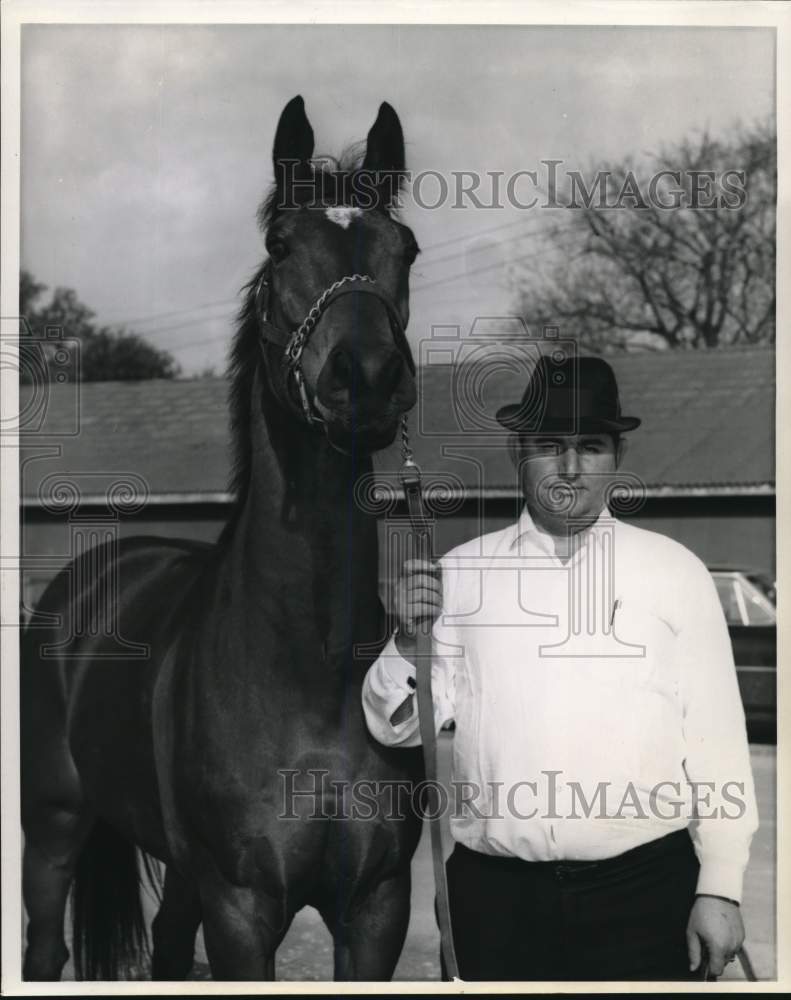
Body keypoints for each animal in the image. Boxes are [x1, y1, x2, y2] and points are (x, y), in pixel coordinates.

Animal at [20, 95, 426, 984]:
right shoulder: (242, 907)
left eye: (405, 248)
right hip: (55, 821)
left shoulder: (376, 906)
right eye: (279, 246)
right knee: (44, 945)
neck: (309, 670)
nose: (367, 377)